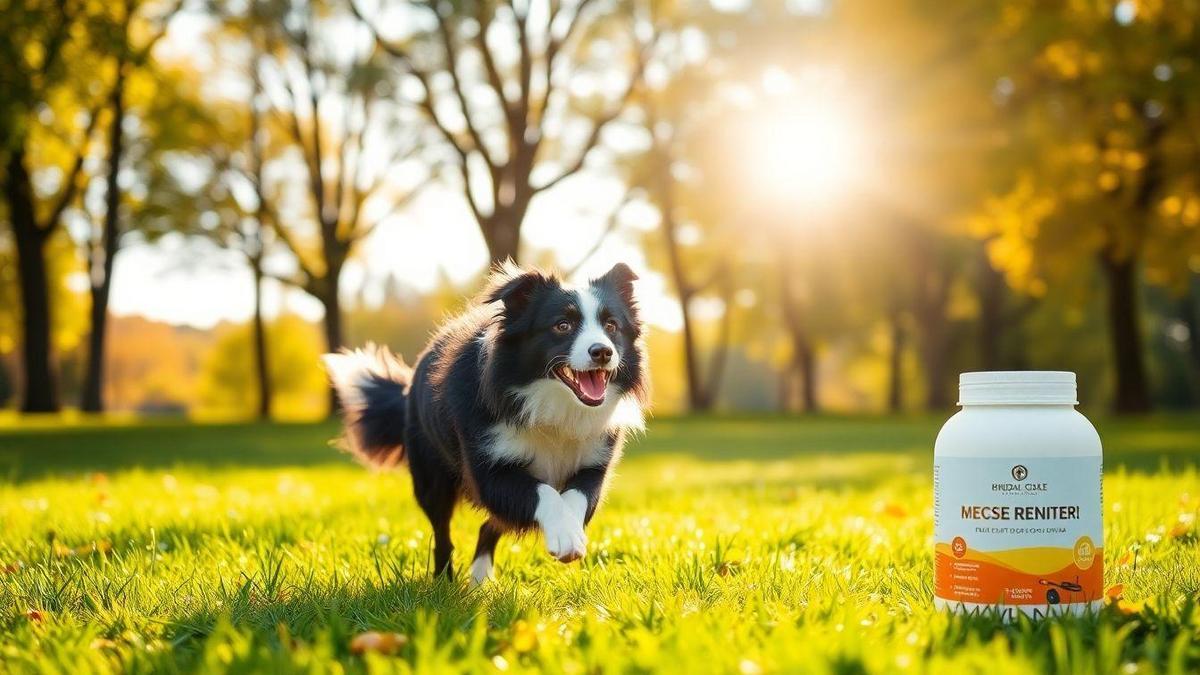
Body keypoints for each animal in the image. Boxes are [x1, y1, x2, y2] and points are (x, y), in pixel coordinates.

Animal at [321, 260, 648, 581]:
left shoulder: (595, 459)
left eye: (611, 326)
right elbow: (543, 492)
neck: (551, 405)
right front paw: (565, 537)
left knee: (491, 524)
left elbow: (577, 495)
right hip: (431, 474)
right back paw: (444, 582)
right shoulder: (488, 464)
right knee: (443, 533)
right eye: (562, 325)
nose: (603, 352)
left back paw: (480, 578)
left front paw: (571, 533)